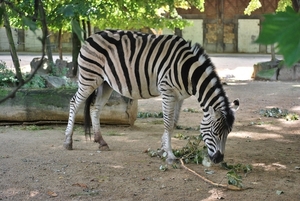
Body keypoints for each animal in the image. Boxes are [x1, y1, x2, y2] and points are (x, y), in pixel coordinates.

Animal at [63, 30, 239, 165]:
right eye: (215, 133)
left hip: (105, 83)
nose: (218, 159)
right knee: (73, 103)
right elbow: (167, 123)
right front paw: (170, 155)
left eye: (229, 133)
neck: (188, 71)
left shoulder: (180, 97)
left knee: (95, 109)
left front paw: (163, 149)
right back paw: (68, 141)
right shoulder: (167, 91)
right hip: (89, 78)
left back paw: (101, 142)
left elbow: (173, 123)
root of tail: (91, 36)